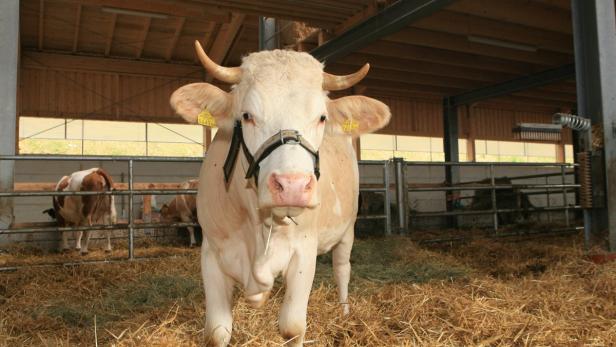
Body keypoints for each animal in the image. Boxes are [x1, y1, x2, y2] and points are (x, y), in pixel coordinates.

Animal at [168, 42, 390, 346]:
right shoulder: (212, 252)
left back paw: (344, 312)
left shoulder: (304, 251)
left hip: (348, 228)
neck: (257, 224)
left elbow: (292, 327)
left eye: (321, 117)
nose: (293, 186)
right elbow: (217, 332)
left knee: (342, 268)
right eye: (247, 116)